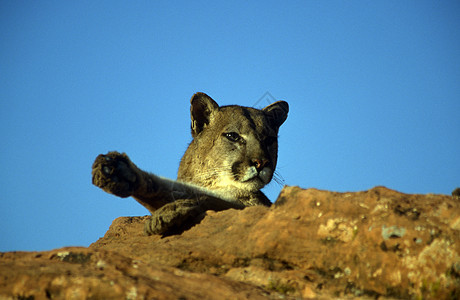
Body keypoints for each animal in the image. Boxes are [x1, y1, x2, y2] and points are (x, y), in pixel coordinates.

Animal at [91, 92, 290, 236]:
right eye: (233, 136)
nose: (261, 162)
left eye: (269, 140)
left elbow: (212, 200)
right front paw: (120, 172)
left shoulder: (254, 206)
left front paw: (169, 212)